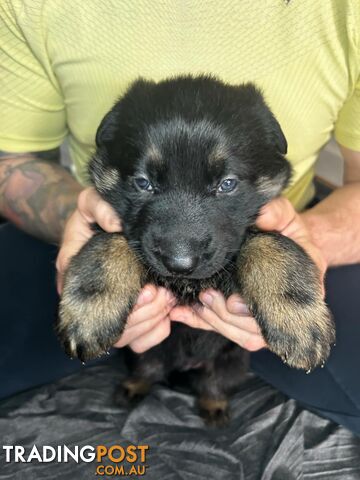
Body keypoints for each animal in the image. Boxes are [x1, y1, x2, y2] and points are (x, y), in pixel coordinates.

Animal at [56, 76, 334, 428]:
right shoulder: (114, 225)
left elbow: (270, 242)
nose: (179, 264)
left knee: (214, 383)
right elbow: (109, 242)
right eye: (143, 183)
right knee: (148, 370)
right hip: (142, 352)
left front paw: (297, 318)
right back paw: (132, 388)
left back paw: (214, 407)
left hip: (233, 361)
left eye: (227, 184)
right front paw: (91, 310)